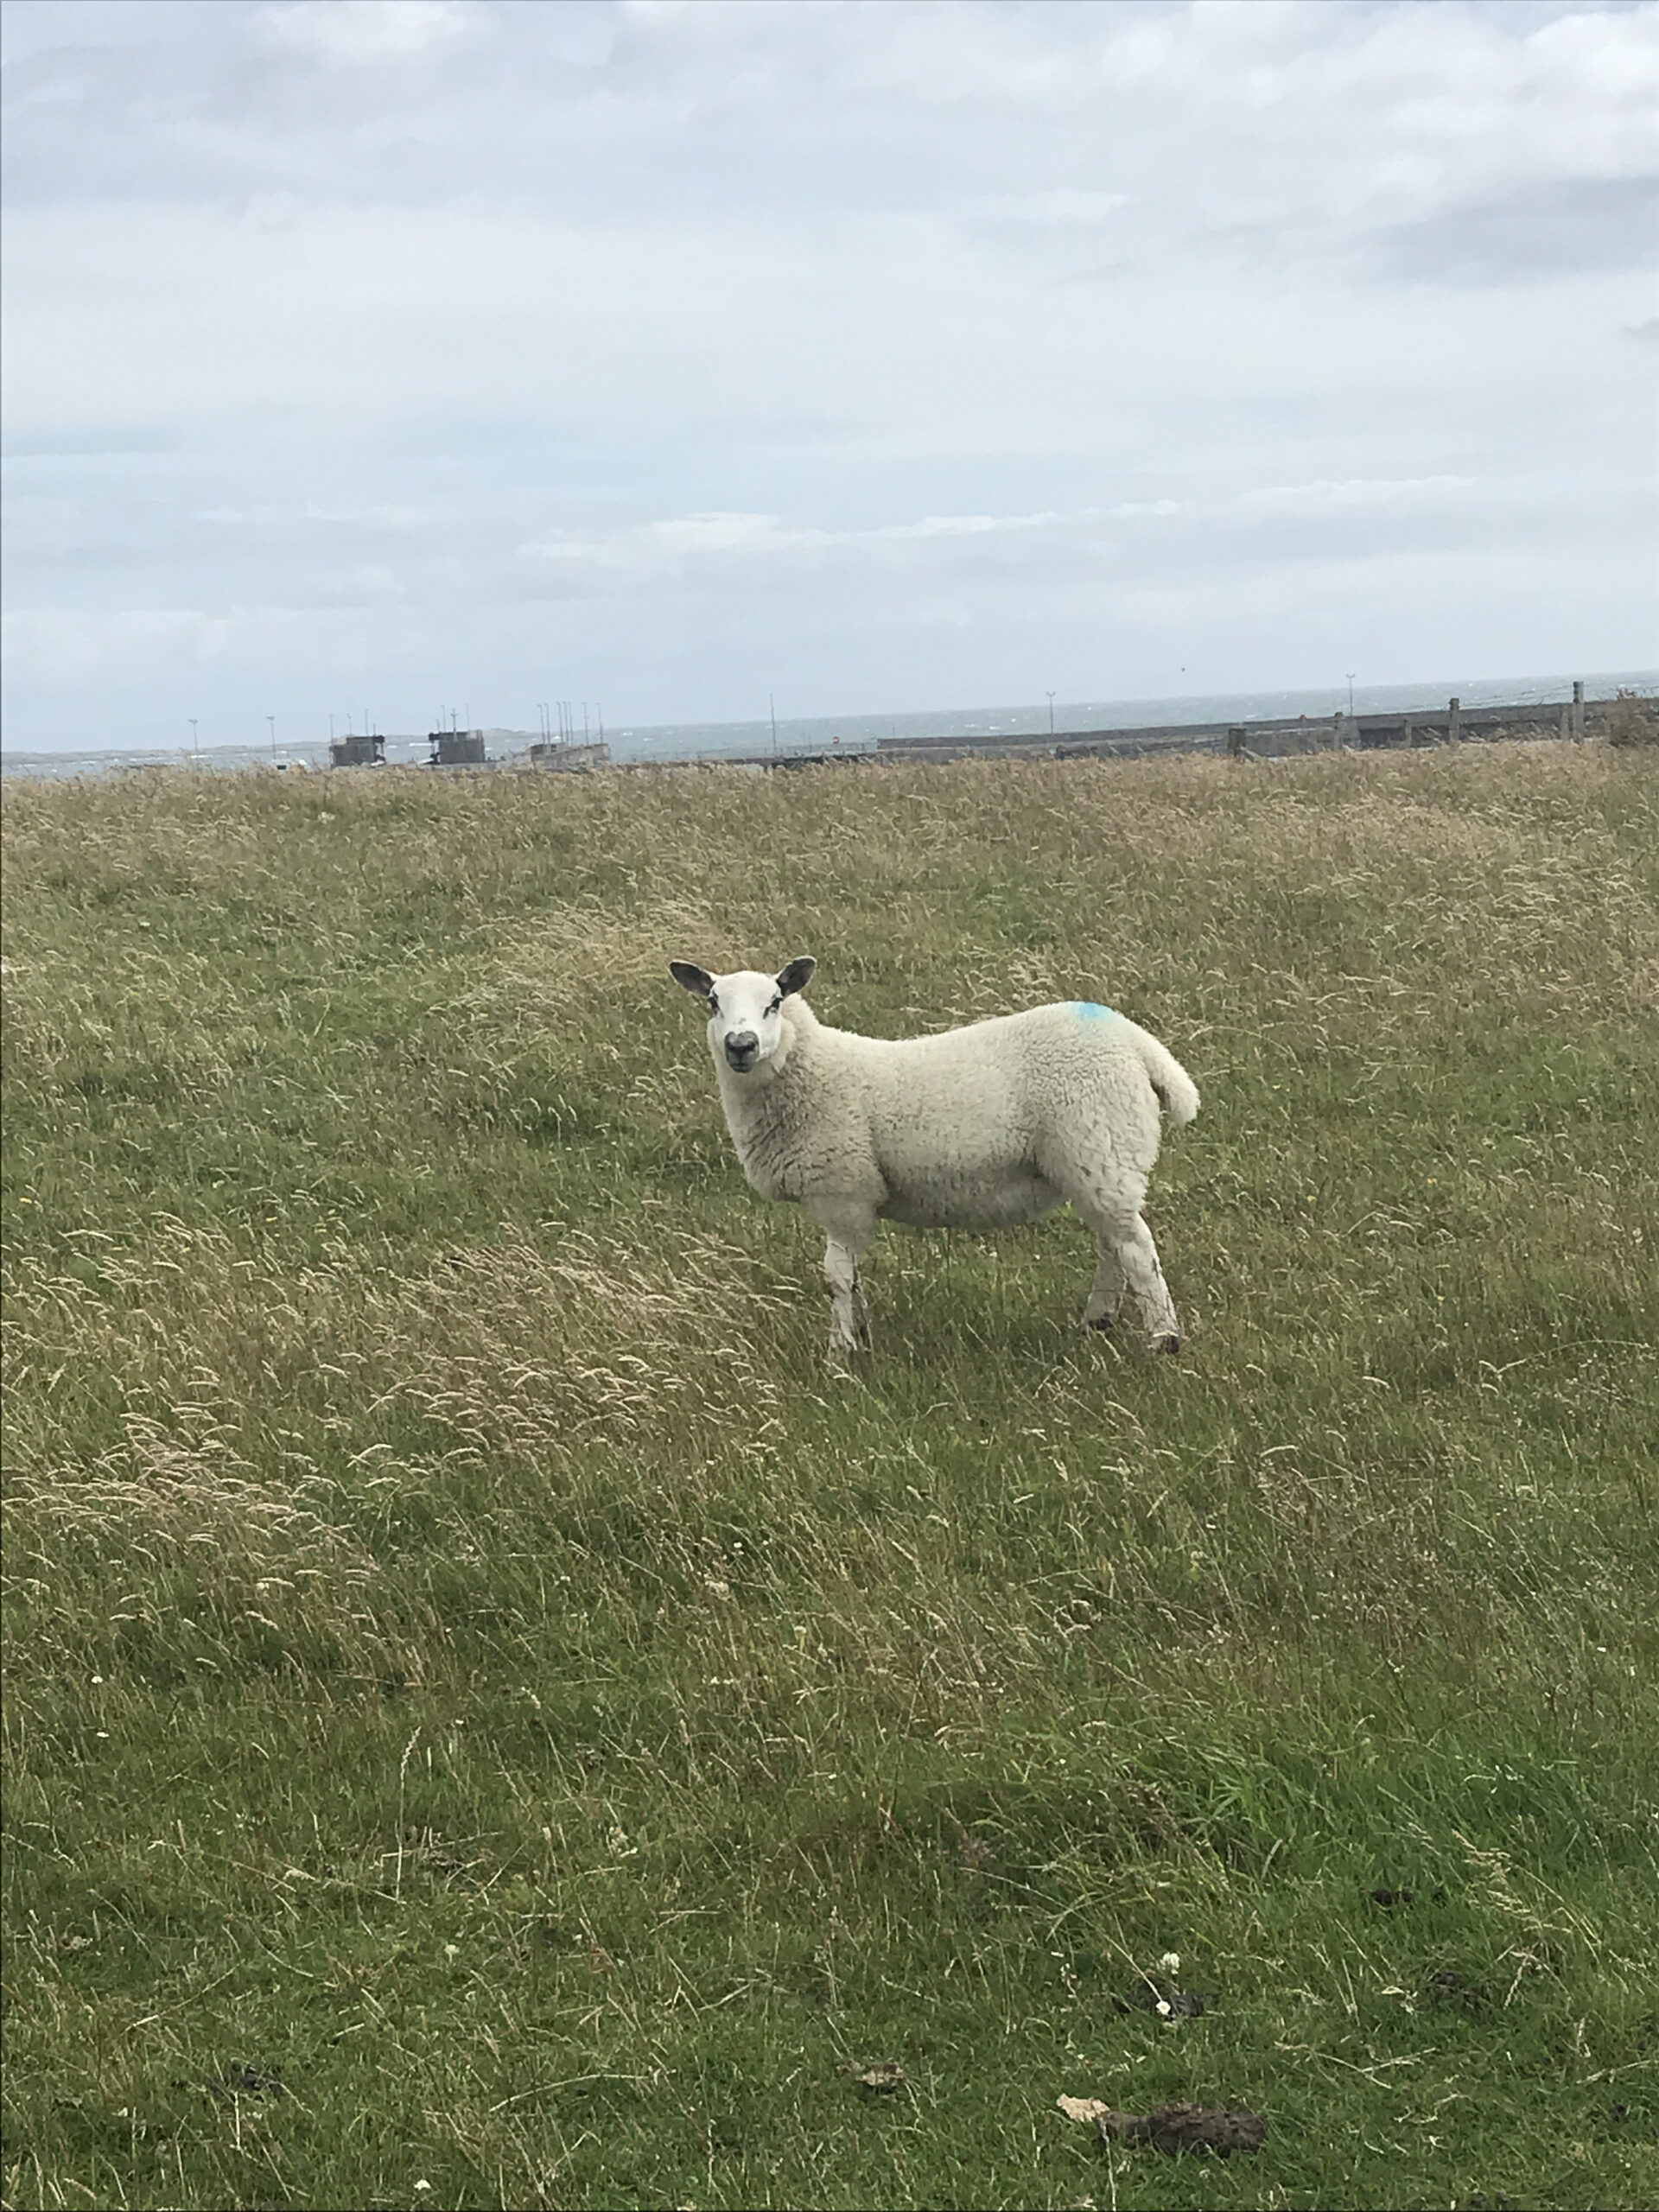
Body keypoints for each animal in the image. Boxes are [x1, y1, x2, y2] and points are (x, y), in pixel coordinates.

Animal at [668, 955, 1203, 1353]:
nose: (741, 1045)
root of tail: (1138, 1044)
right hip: (1099, 1163)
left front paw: (841, 1352)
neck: (812, 1069)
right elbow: (853, 1279)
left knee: (1136, 1249)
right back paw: (1098, 1320)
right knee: (1115, 1244)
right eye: (713, 1003)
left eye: (775, 1002)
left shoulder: (843, 1192)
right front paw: (860, 1332)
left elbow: (836, 1278)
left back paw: (1164, 1339)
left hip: (1098, 1147)